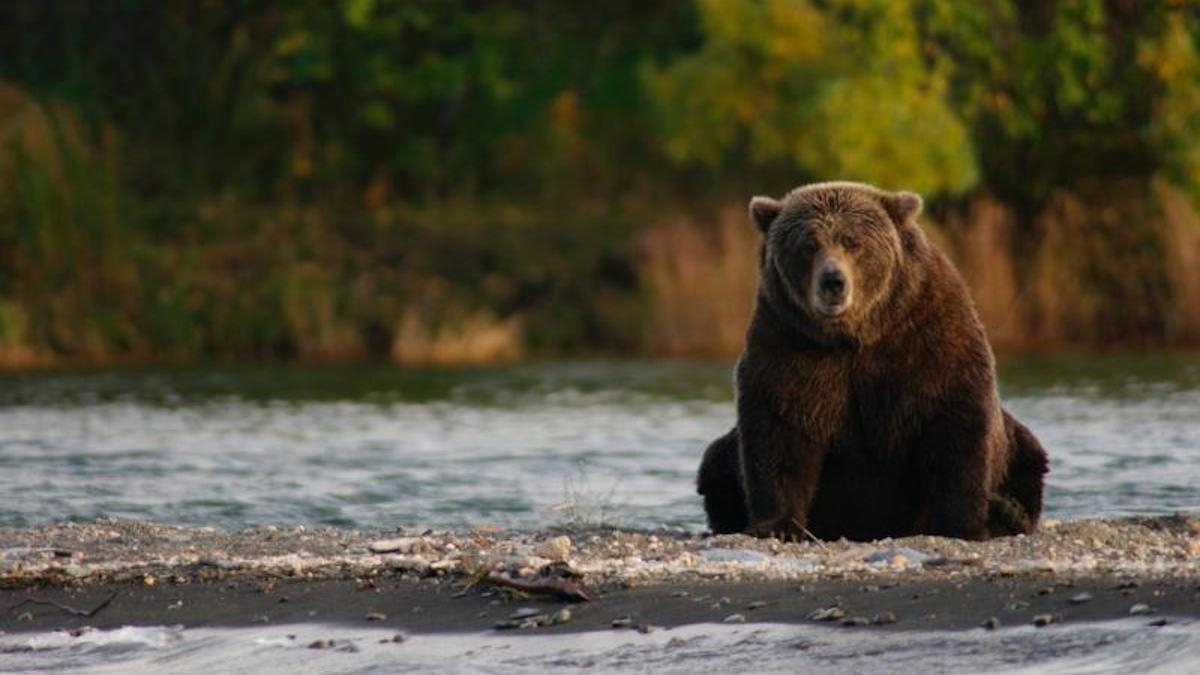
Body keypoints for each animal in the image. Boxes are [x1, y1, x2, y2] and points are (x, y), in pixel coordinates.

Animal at [700, 181, 1046, 538]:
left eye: (853, 242)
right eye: (809, 244)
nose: (833, 281)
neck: (855, 335)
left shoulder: (927, 337)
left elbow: (954, 426)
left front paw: (961, 524)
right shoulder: (787, 342)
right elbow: (779, 429)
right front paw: (777, 525)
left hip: (1018, 447)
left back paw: (1007, 512)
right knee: (715, 464)